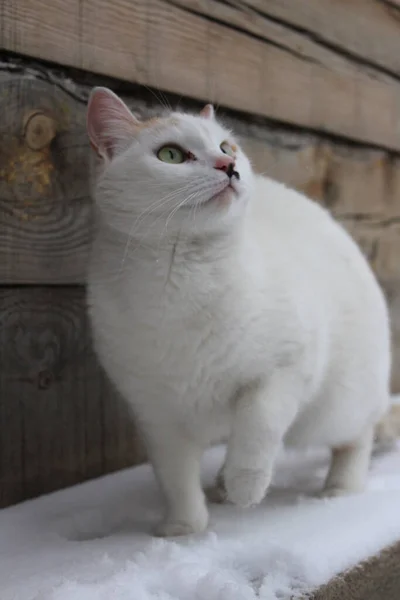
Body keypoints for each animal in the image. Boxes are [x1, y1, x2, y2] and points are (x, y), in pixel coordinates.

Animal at [86, 86, 390, 536]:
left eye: (226, 147)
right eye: (171, 155)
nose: (228, 166)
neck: (178, 283)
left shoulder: (286, 368)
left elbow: (258, 426)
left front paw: (247, 486)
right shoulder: (156, 417)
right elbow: (174, 478)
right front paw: (184, 529)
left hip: (334, 409)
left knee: (357, 436)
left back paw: (338, 487)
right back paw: (218, 486)